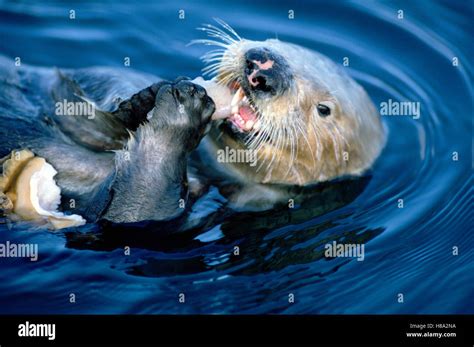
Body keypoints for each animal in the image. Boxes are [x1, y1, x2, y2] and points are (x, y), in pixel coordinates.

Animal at [0, 21, 386, 228]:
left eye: (324, 110)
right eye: (277, 42)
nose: (263, 67)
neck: (207, 165)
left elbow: (134, 211)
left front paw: (180, 115)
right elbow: (87, 77)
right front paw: (139, 98)